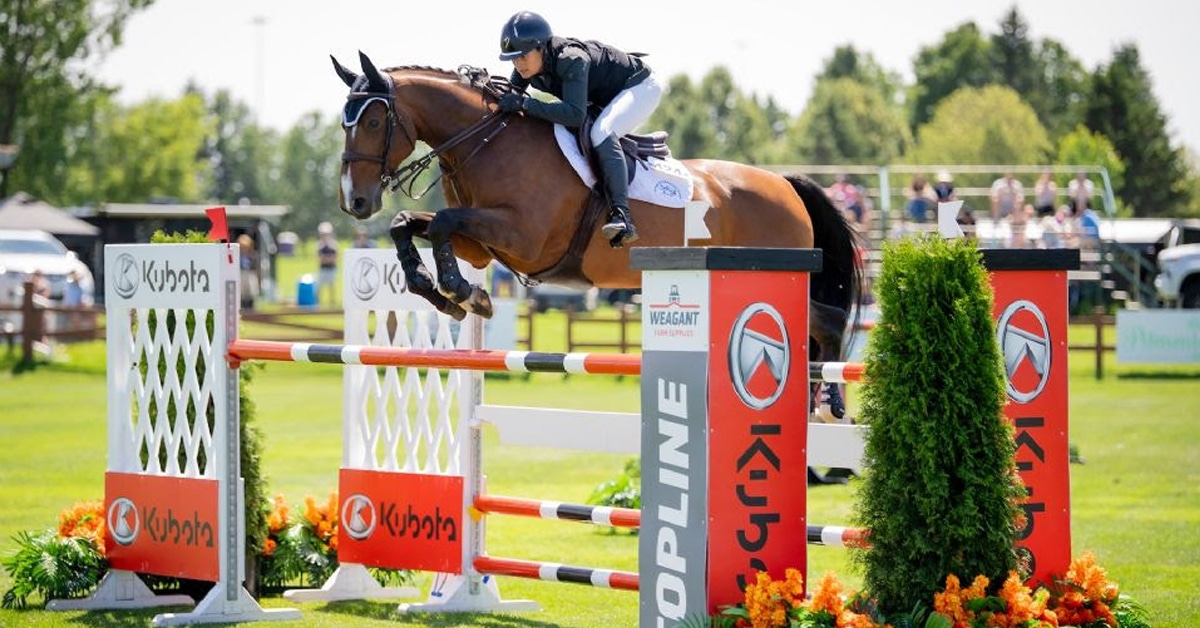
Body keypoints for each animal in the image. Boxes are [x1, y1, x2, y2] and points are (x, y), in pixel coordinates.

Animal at [331, 52, 863, 393]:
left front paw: (464, 294)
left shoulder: (522, 238)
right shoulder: (479, 246)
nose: (355, 201)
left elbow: (440, 221)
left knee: (829, 321)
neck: (485, 141)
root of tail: (786, 185)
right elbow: (409, 223)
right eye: (343, 124)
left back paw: (829, 402)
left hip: (774, 273)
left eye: (374, 122)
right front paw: (445, 292)